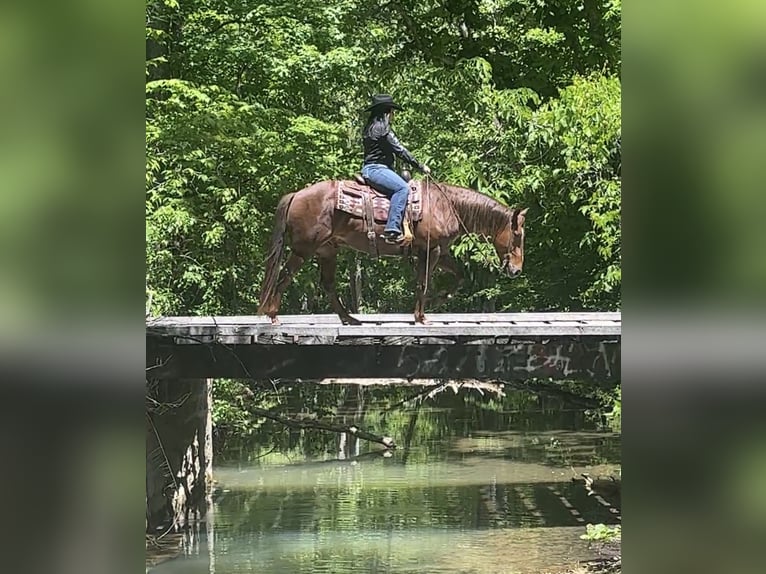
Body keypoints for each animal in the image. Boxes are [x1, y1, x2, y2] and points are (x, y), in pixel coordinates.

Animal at [257, 178, 528, 325]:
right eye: (518, 235)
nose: (516, 270)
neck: (445, 206)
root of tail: (296, 194)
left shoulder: (440, 252)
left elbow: (459, 277)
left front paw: (437, 301)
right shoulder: (430, 251)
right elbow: (423, 283)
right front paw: (421, 316)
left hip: (327, 250)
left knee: (328, 284)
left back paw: (349, 319)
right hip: (304, 249)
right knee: (284, 276)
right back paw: (273, 316)